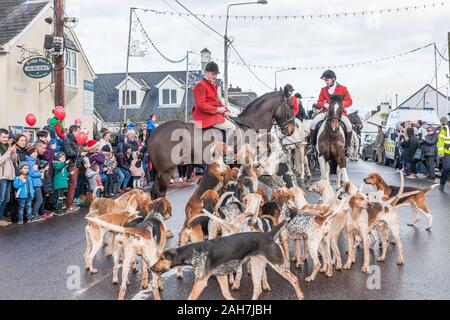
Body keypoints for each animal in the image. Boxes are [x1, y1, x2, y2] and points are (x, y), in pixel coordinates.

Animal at [147, 87, 296, 198]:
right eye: (290, 106)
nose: (291, 129)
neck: (249, 126)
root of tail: (154, 132)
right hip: (166, 171)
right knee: (159, 194)